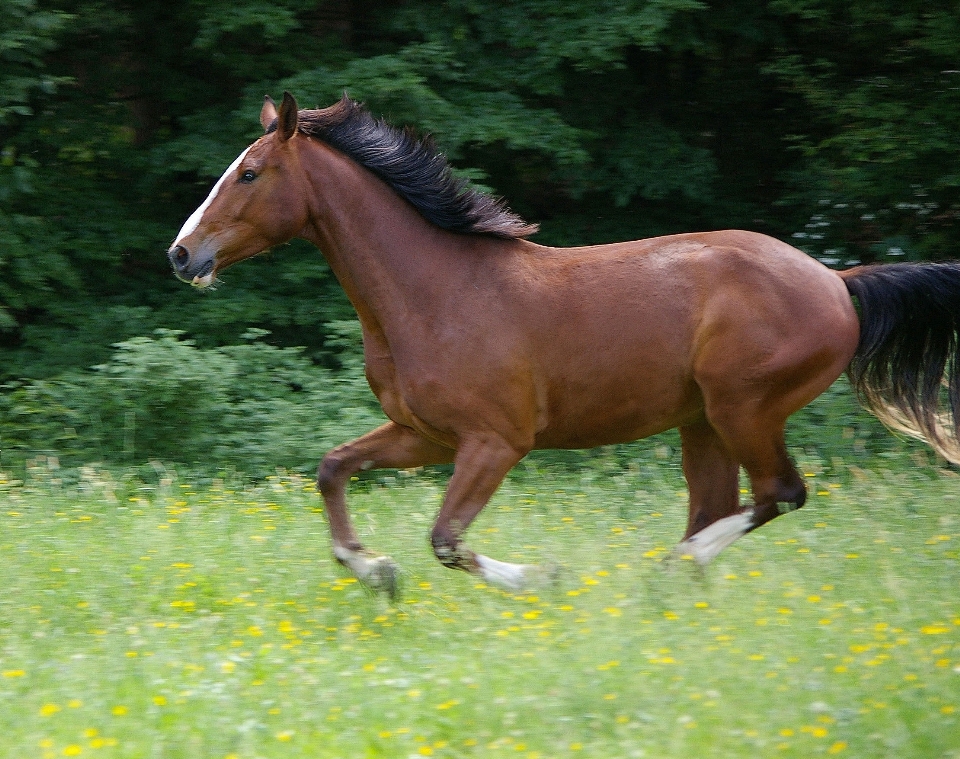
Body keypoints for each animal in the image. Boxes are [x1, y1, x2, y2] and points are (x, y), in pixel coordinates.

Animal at [169, 92, 960, 596]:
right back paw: (676, 582)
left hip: (745, 409)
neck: (435, 292)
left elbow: (446, 539)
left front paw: (542, 578)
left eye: (249, 173)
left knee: (780, 494)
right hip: (702, 422)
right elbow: (333, 469)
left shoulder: (496, 441)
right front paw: (376, 571)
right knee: (723, 505)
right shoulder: (424, 435)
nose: (181, 255)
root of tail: (836, 281)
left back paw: (669, 568)